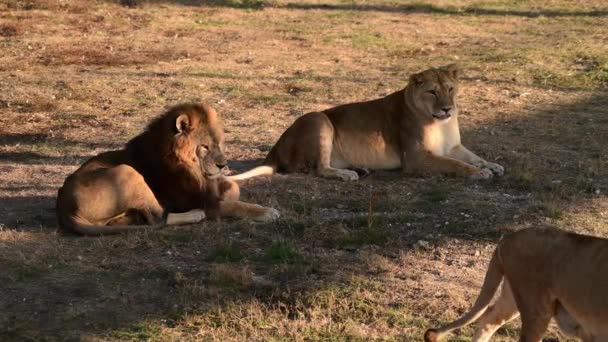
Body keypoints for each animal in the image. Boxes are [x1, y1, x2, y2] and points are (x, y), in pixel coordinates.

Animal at [55, 103, 280, 235]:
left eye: (218, 143)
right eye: (204, 146)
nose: (222, 165)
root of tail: (63, 207)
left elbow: (234, 188)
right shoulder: (197, 201)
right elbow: (235, 205)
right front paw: (267, 211)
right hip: (126, 172)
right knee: (159, 217)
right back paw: (195, 215)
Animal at [228, 63, 504, 182]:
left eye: (450, 88)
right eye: (432, 92)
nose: (448, 108)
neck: (440, 123)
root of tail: (275, 148)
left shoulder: (454, 146)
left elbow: (473, 156)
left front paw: (492, 165)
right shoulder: (415, 158)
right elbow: (455, 164)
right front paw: (479, 173)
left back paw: (359, 168)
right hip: (319, 119)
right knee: (318, 169)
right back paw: (348, 174)